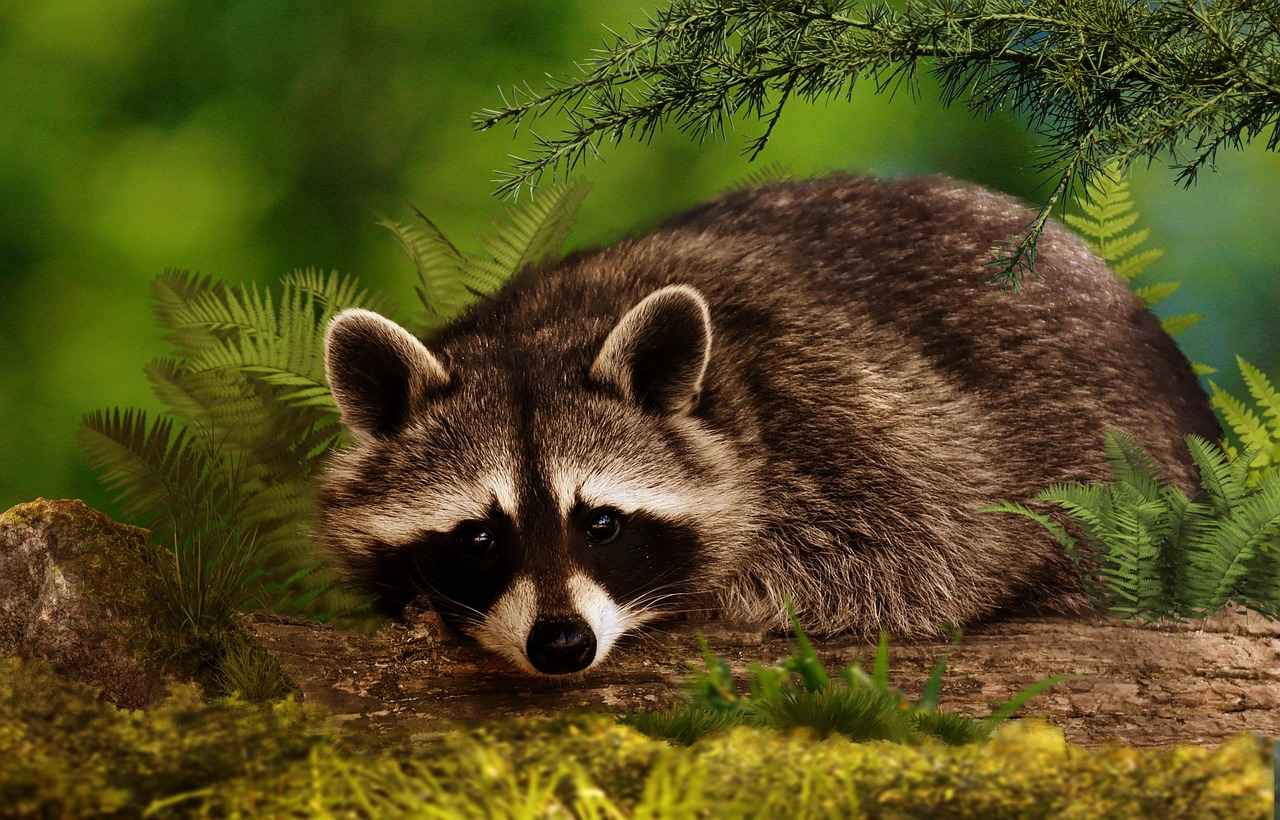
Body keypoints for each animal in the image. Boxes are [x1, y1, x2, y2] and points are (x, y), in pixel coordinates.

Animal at [318, 173, 1219, 676]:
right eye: (478, 536)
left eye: (600, 523)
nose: (562, 646)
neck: (543, 330)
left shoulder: (846, 412)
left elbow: (932, 552)